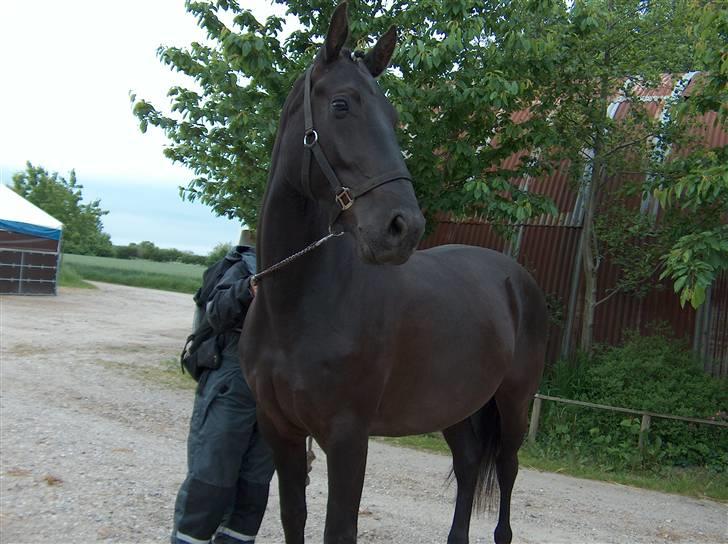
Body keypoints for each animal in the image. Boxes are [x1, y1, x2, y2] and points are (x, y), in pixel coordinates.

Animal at [242, 5, 548, 544]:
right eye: (341, 105)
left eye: (394, 118)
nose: (403, 227)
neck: (296, 303)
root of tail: (516, 279)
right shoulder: (280, 429)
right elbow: (292, 517)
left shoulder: (348, 437)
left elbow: (339, 529)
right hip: (457, 404)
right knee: (469, 464)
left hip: (513, 404)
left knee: (507, 471)